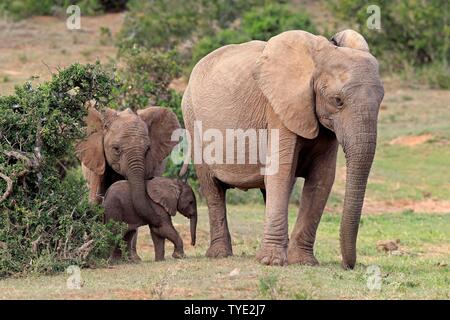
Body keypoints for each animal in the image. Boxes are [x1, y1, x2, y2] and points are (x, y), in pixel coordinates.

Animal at [181, 30, 384, 270]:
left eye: (381, 101)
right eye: (338, 101)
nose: (348, 265)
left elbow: (322, 178)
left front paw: (303, 262)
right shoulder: (278, 109)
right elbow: (281, 170)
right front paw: (271, 262)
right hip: (192, 121)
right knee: (212, 188)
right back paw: (220, 255)